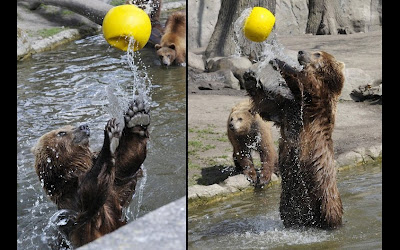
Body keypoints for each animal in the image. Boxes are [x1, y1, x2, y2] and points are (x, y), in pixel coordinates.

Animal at [30, 97, 150, 246]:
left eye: (71, 126)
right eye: (61, 132)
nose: (84, 126)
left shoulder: (115, 188)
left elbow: (126, 164)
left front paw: (136, 116)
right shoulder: (74, 208)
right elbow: (91, 193)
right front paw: (109, 140)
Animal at [242, 49, 346, 229]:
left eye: (318, 54)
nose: (301, 52)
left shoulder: (318, 105)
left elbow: (309, 83)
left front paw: (283, 63)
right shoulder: (287, 110)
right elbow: (268, 104)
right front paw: (250, 76)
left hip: (325, 193)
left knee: (331, 212)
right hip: (289, 201)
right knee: (289, 214)